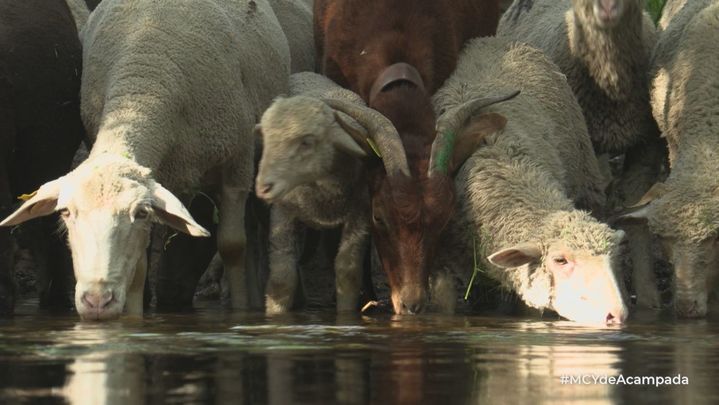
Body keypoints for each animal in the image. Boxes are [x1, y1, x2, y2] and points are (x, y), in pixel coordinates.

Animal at [256, 72, 402, 313]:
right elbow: (282, 277)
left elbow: (347, 272)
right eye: (266, 140)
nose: (263, 186)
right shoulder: (282, 210)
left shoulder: (361, 211)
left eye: (307, 142)